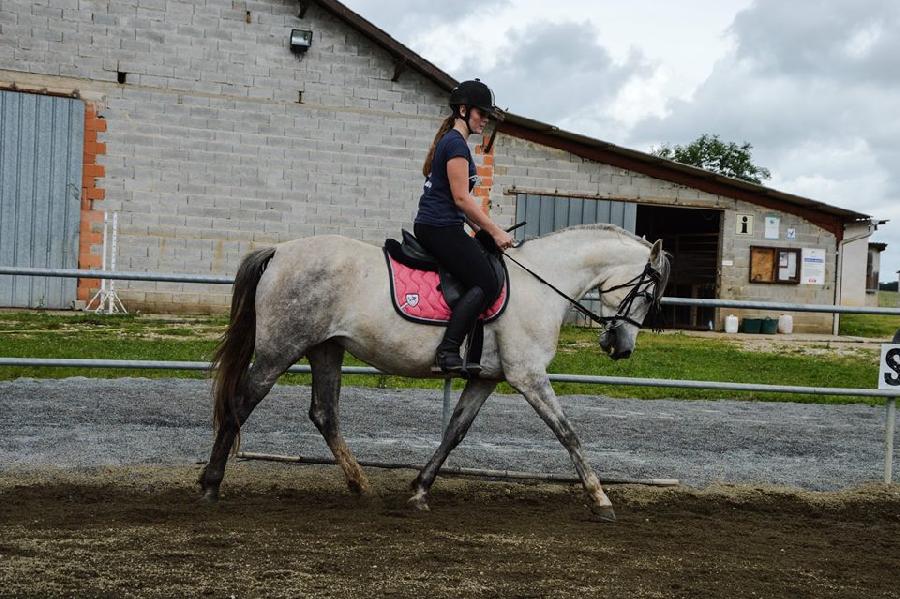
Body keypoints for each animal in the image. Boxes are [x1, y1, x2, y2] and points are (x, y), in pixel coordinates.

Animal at [200, 223, 672, 524]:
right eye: (648, 293)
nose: (620, 347)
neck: (541, 283)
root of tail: (280, 251)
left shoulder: (485, 378)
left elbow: (455, 432)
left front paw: (419, 491)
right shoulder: (528, 376)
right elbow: (568, 433)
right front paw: (601, 499)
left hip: (325, 349)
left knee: (324, 414)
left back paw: (362, 487)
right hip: (281, 349)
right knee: (241, 403)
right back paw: (210, 485)